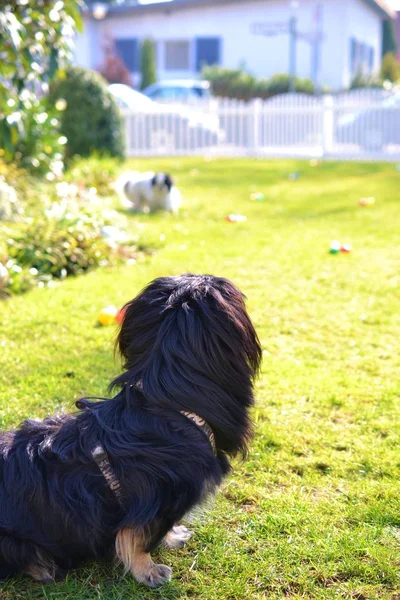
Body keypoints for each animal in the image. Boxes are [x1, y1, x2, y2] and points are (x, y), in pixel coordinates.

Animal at [0, 276, 260, 584]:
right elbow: (137, 536)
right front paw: (147, 569)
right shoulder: (154, 502)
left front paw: (172, 538)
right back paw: (42, 566)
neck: (166, 407)